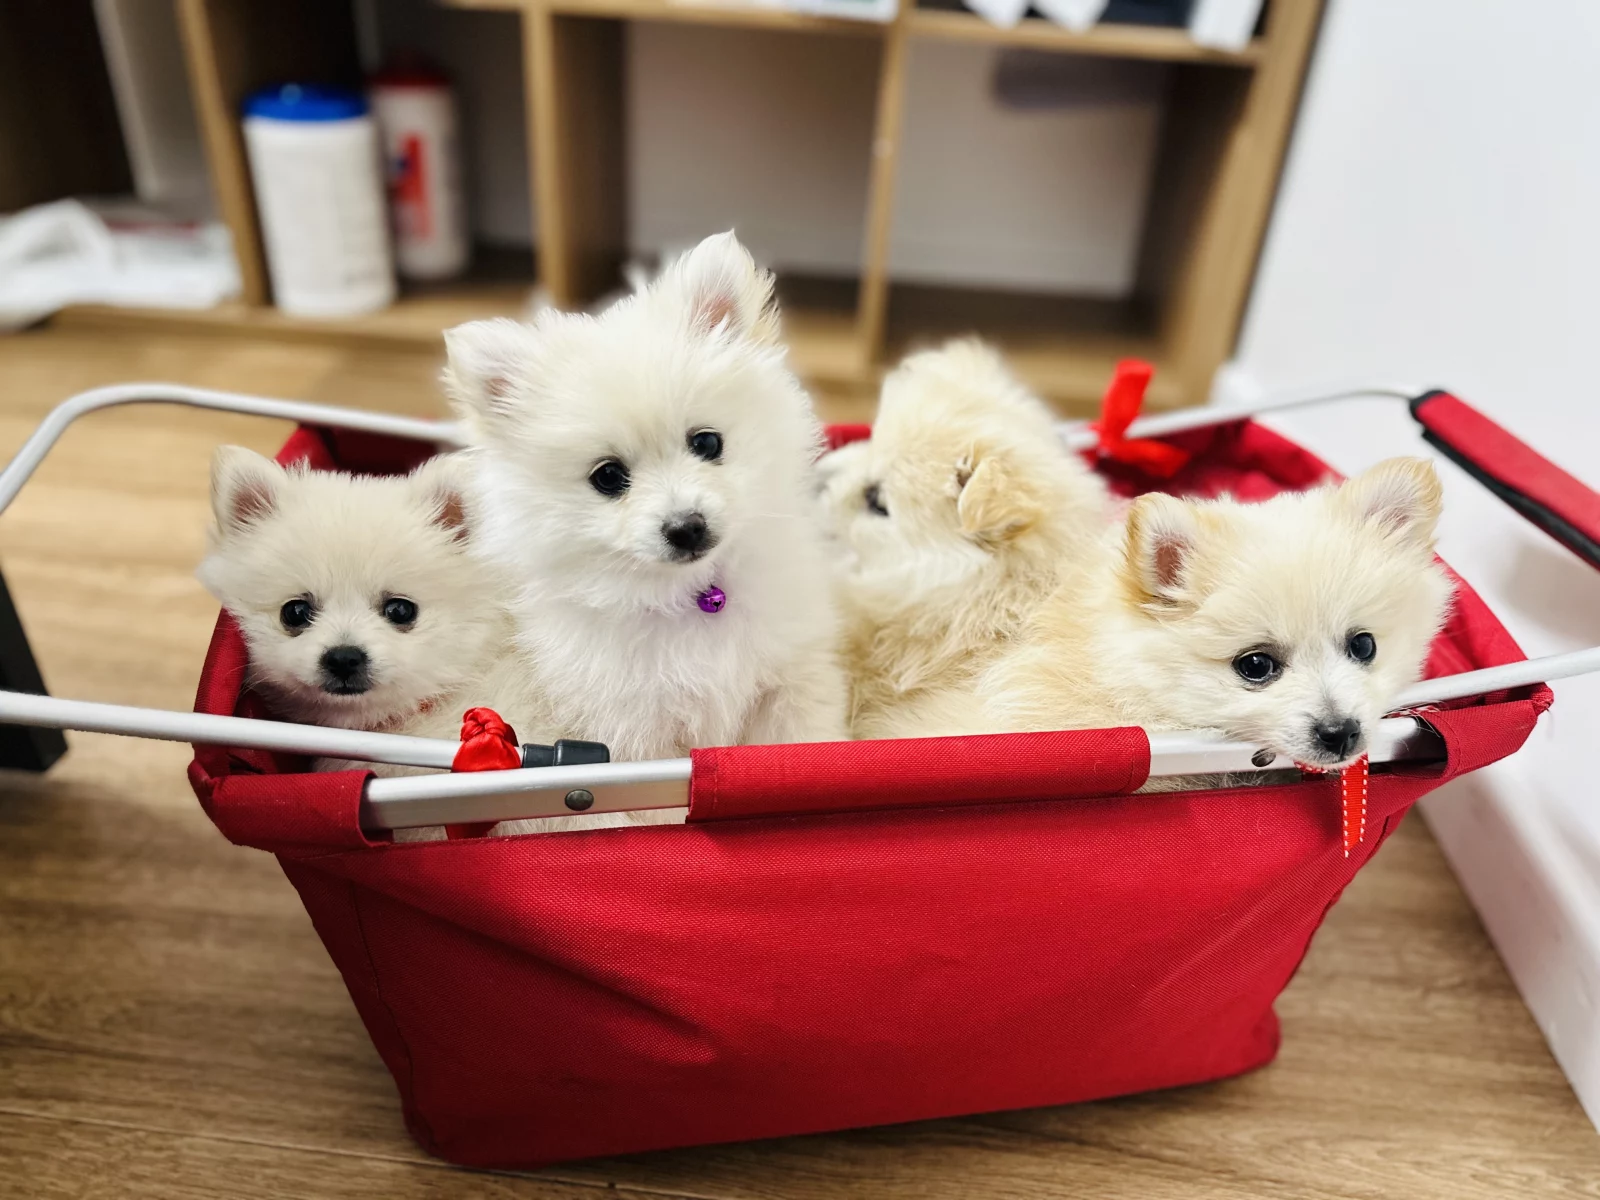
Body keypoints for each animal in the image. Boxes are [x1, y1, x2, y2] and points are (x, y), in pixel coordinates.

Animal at [442, 230, 848, 762]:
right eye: (608, 476)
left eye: (707, 443)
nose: (686, 527)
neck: (692, 596)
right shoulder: (631, 732)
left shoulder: (790, 677)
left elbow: (803, 737)